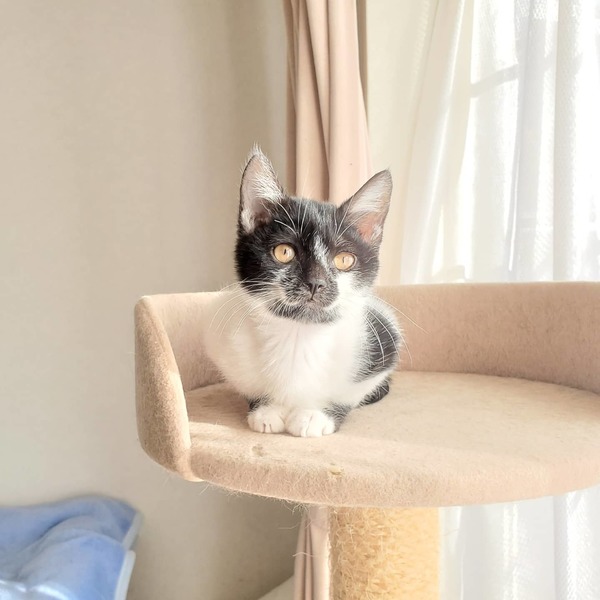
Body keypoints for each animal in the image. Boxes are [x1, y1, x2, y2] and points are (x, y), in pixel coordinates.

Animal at [203, 147, 400, 437]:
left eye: (344, 260)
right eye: (284, 252)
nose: (315, 282)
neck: (298, 334)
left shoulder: (384, 345)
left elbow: (348, 394)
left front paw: (316, 415)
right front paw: (266, 409)